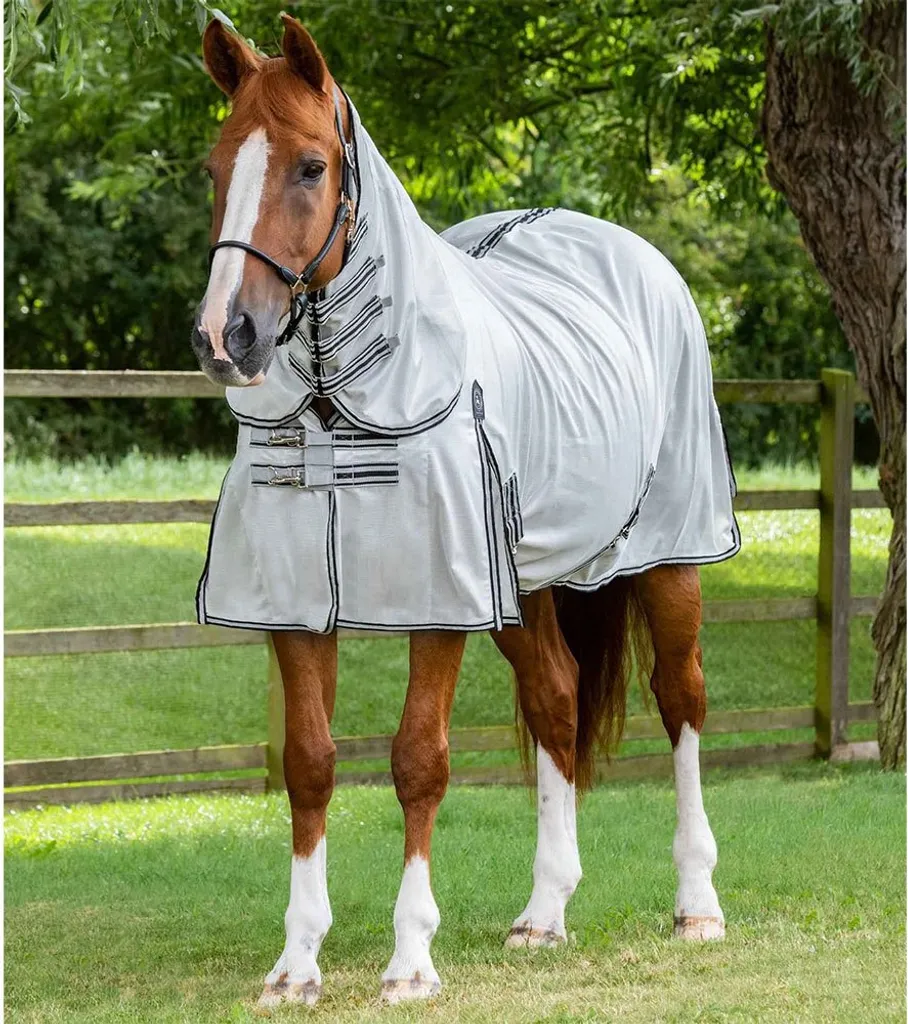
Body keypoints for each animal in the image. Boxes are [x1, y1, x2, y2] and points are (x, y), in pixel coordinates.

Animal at [190, 15, 739, 1008]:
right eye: (216, 169)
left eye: (310, 167)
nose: (225, 337)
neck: (337, 406)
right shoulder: (292, 603)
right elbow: (309, 763)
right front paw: (295, 965)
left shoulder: (437, 597)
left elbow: (419, 761)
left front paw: (411, 960)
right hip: (524, 581)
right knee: (557, 699)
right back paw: (544, 914)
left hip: (672, 556)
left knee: (681, 702)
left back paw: (697, 906)